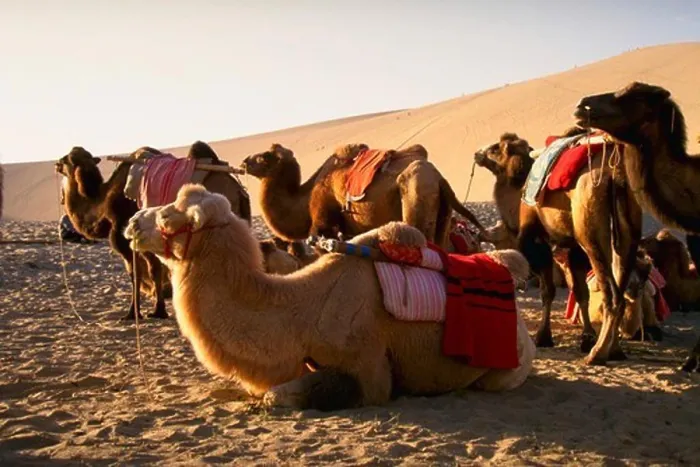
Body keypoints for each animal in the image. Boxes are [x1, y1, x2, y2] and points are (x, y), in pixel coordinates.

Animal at [55, 141, 251, 320]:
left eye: (67, 160)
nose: (56, 163)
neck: (103, 204)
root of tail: (238, 191)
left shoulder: (123, 238)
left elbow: (136, 273)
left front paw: (133, 313)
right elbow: (154, 269)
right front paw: (158, 310)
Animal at [124, 184, 536, 411]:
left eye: (170, 219)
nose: (132, 222)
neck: (298, 316)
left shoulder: (369, 371)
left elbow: (279, 395)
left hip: (506, 371)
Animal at [241, 143, 485, 249]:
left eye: (264, 156)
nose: (244, 161)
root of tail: (440, 179)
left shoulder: (323, 224)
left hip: (416, 194)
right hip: (444, 216)